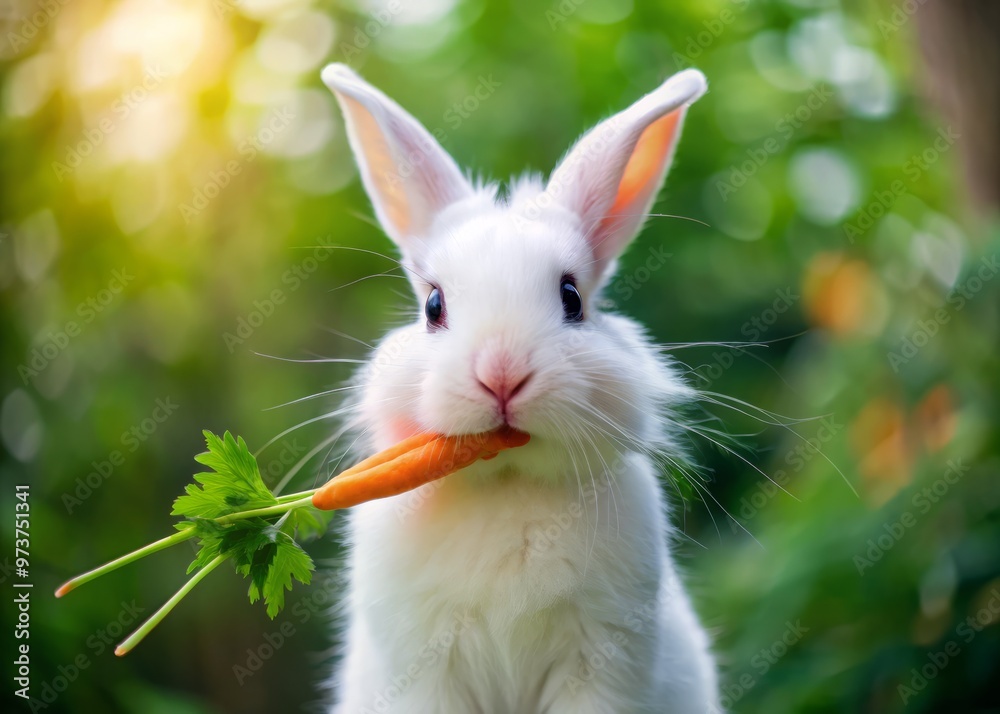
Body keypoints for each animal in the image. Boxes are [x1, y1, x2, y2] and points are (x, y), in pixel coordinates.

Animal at [320, 62, 720, 712]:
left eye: (572, 297)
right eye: (432, 305)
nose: (502, 373)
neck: (506, 481)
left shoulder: (600, 663)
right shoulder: (424, 670)